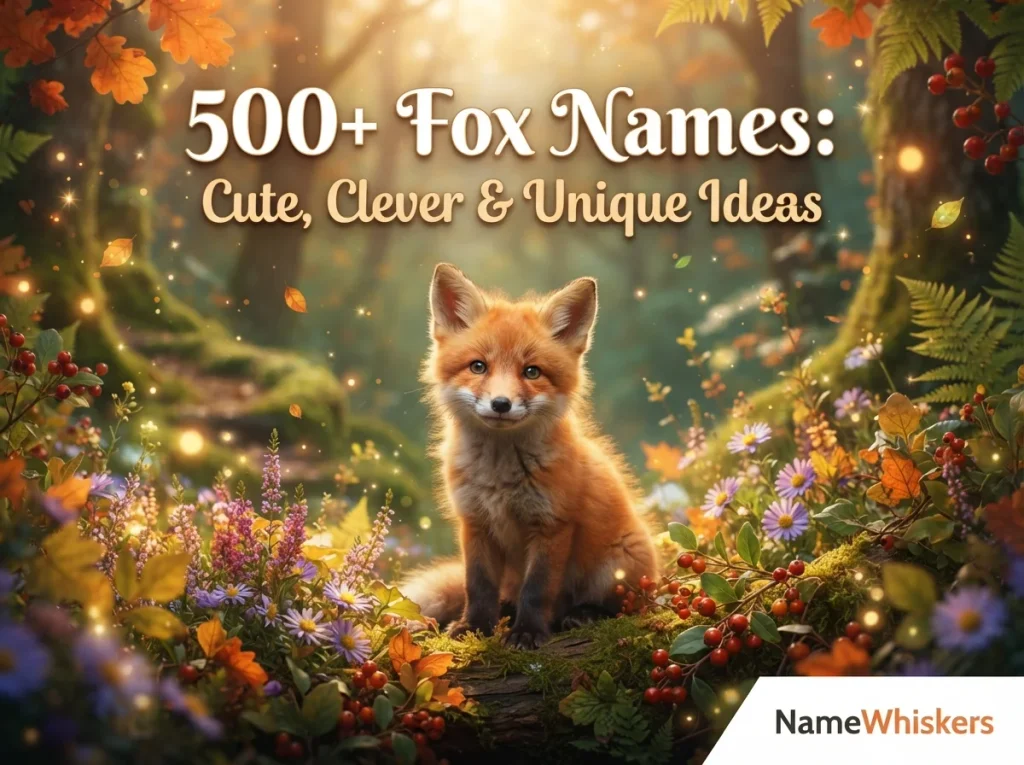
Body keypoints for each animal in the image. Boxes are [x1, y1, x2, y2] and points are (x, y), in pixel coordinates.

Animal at [401, 263, 658, 649]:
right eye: (478, 367)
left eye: (531, 372)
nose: (501, 404)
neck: (500, 478)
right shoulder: (475, 523)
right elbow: (478, 586)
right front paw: (474, 627)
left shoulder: (552, 525)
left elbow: (537, 589)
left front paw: (528, 632)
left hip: (618, 566)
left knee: (626, 605)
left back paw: (583, 614)